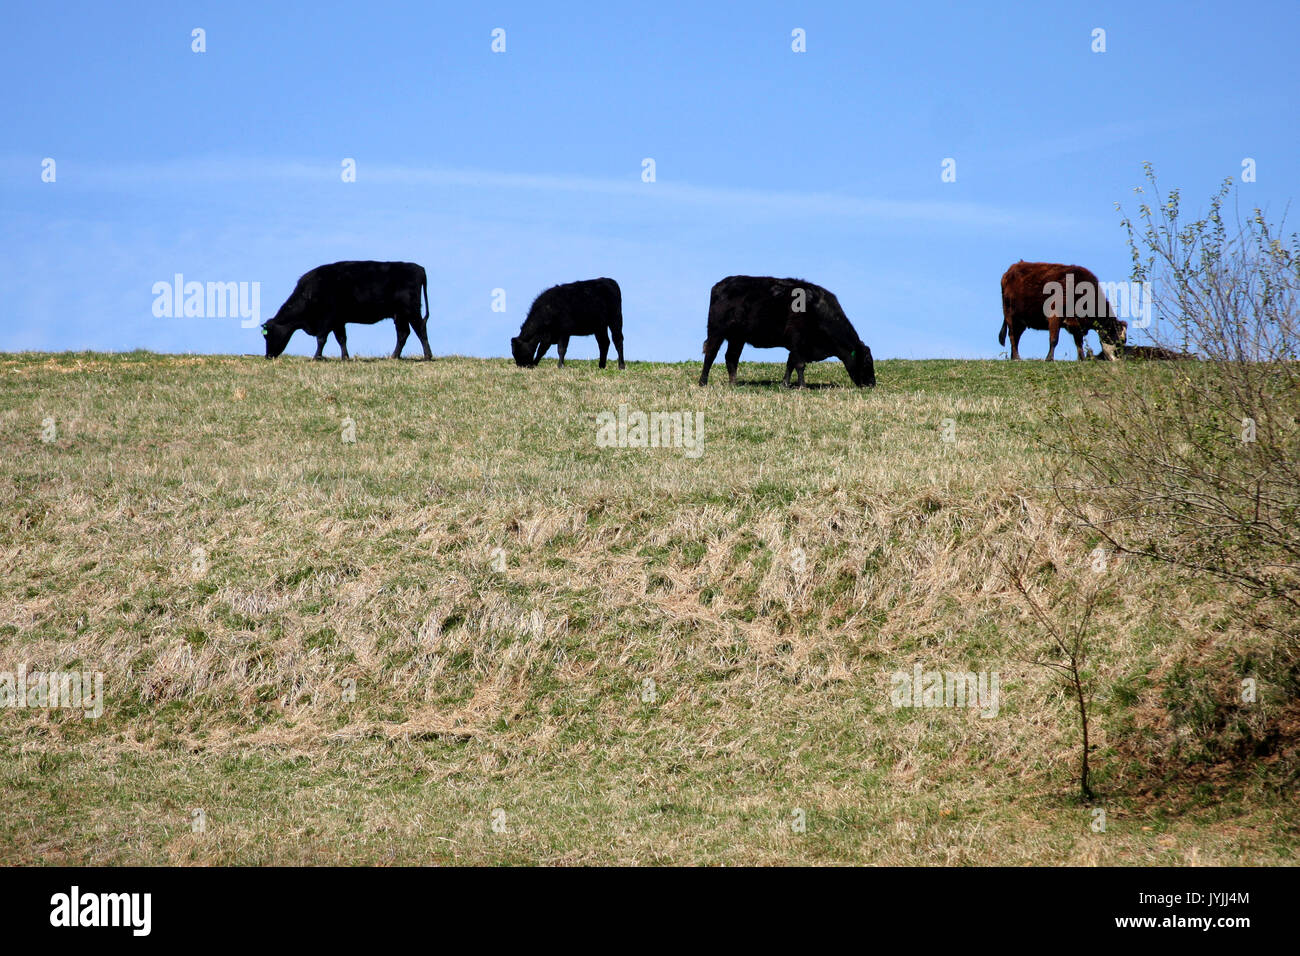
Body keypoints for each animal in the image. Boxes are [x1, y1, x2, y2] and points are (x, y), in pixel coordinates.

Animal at [261, 261, 431, 360]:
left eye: (268, 335)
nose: (268, 355)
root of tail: (419, 268)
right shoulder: (338, 321)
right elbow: (341, 339)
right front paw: (345, 357)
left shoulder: (327, 319)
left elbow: (321, 339)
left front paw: (317, 357)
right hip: (400, 315)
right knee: (403, 334)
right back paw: (394, 356)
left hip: (411, 311)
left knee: (420, 330)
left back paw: (427, 356)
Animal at [698, 276, 875, 388]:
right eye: (867, 362)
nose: (872, 384)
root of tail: (720, 284)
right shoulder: (797, 340)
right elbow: (799, 364)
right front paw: (802, 386)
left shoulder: (797, 346)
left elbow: (790, 363)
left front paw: (785, 384)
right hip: (716, 331)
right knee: (711, 354)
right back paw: (703, 382)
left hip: (737, 338)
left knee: (731, 358)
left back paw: (733, 384)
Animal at [999, 261, 1127, 361]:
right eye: (1116, 340)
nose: (1119, 359)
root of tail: (1011, 269)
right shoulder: (1055, 316)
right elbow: (1054, 339)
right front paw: (1049, 358)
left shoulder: (1076, 324)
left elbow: (1079, 342)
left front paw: (1082, 358)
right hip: (1010, 315)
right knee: (1012, 336)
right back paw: (1016, 357)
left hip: (1021, 321)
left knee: (1016, 336)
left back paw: (1013, 357)